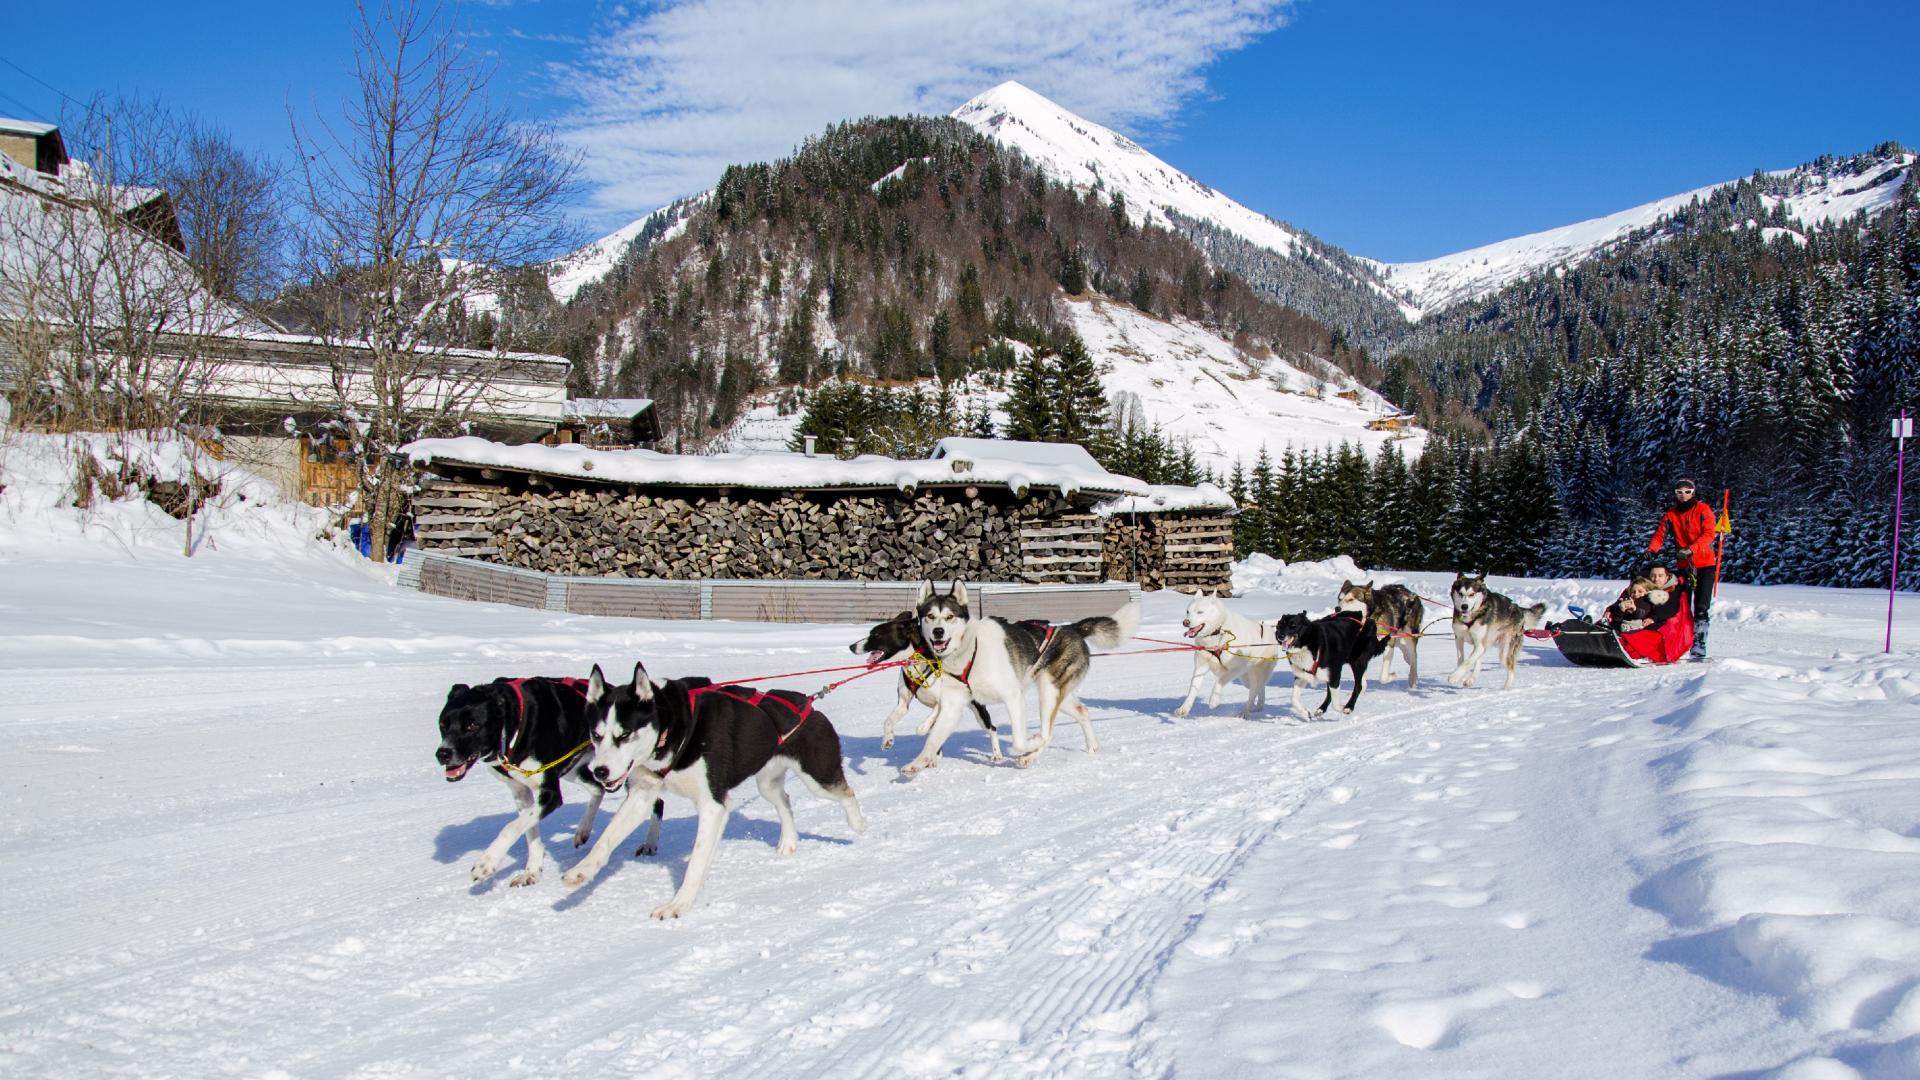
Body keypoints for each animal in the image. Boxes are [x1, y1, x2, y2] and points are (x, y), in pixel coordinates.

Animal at [437, 672, 668, 883]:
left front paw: (487, 862)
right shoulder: (522, 793)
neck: (515, 725)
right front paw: (531, 871)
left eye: (473, 725)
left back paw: (650, 844)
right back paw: (583, 830)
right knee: (597, 788)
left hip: (621, 772)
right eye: (442, 724)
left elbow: (510, 827)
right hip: (574, 770)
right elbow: (528, 830)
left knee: (656, 803)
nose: (442, 754)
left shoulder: (550, 794)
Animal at [560, 657, 867, 914]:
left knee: (847, 792)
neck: (677, 730)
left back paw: (858, 824)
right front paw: (581, 871)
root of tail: (809, 704)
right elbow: (606, 839)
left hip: (818, 777)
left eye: (624, 734)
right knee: (786, 801)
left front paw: (678, 904)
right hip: (767, 783)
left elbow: (696, 861)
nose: (600, 771)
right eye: (596, 735)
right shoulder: (642, 795)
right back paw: (789, 842)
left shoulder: (712, 803)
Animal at [856, 611, 1006, 760]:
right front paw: (887, 739)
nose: (852, 646)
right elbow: (888, 721)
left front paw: (923, 728)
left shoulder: (942, 702)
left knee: (992, 729)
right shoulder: (903, 704)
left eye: (876, 634)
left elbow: (927, 724)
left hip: (979, 711)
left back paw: (996, 754)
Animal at [906, 584, 1128, 768]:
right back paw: (1091, 745)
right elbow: (933, 738)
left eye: (950, 616)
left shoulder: (1013, 697)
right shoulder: (953, 704)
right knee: (1081, 711)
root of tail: (1071, 627)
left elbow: (1020, 741)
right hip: (1058, 693)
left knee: (1047, 731)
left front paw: (1030, 743)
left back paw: (1031, 754)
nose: (938, 632)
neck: (970, 650)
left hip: (1049, 692)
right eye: (930, 616)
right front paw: (917, 763)